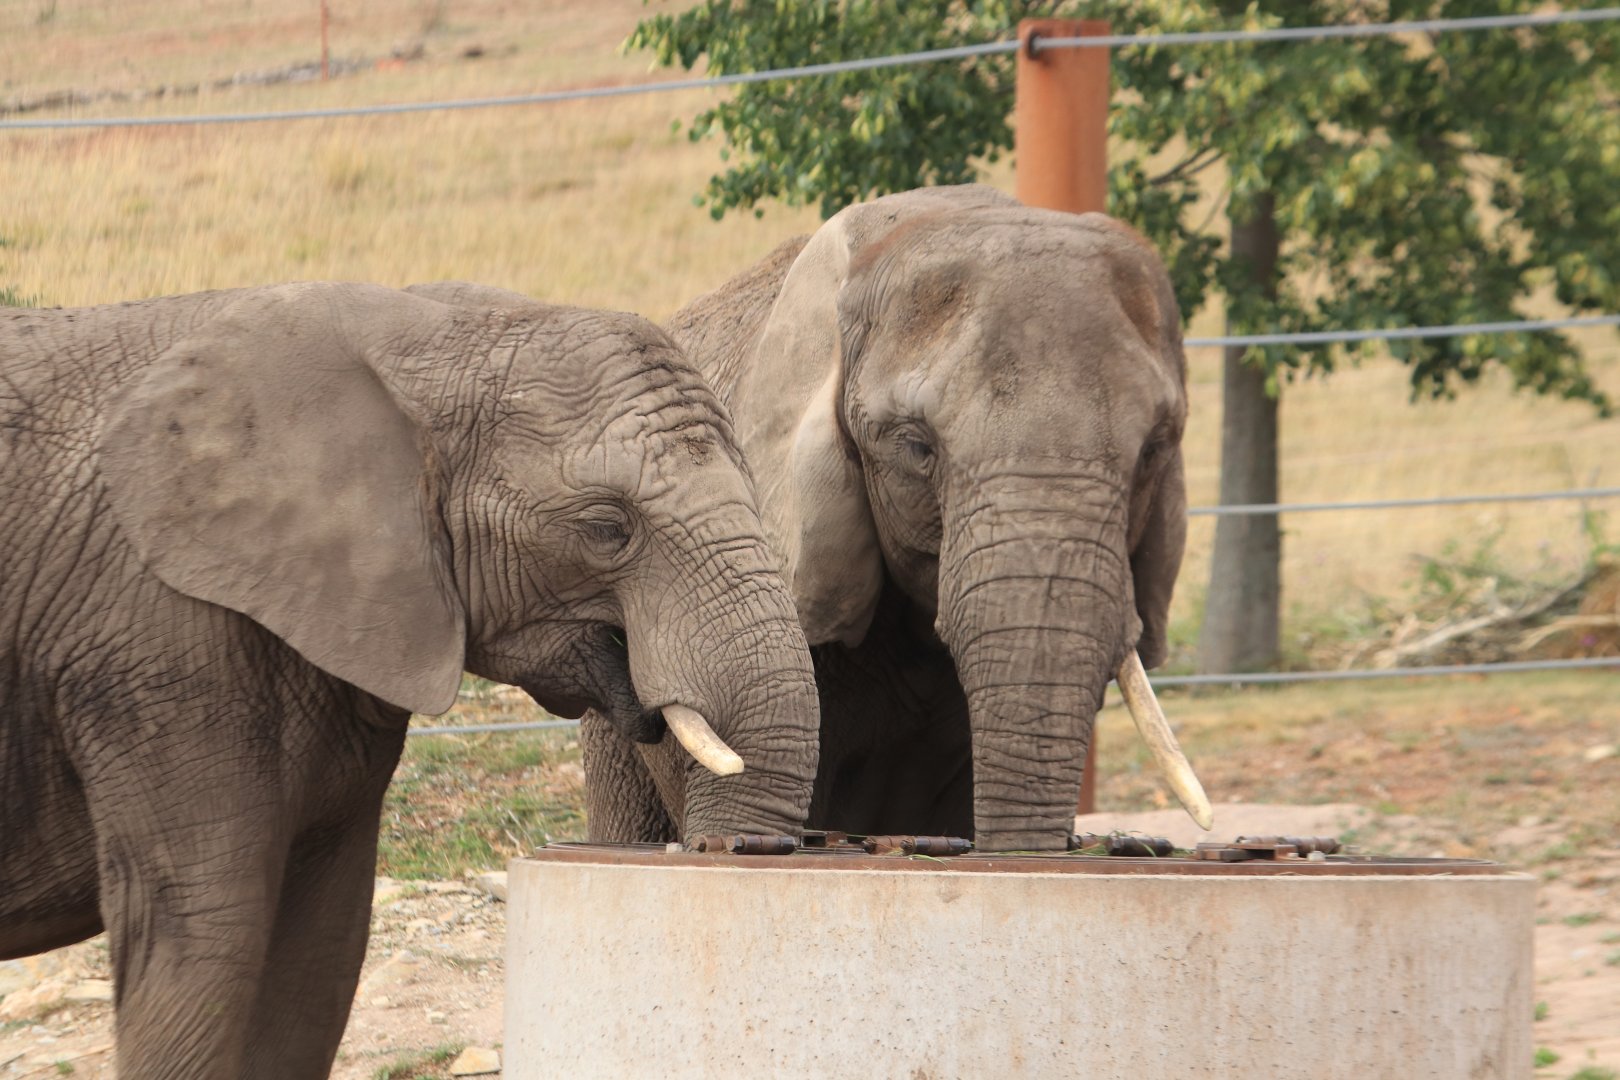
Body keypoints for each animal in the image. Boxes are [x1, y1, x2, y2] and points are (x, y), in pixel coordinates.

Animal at [0, 282, 820, 1079]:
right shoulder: (156, 650)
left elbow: (321, 952)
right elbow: (208, 940)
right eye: (606, 528)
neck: (419, 333)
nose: (736, 852)